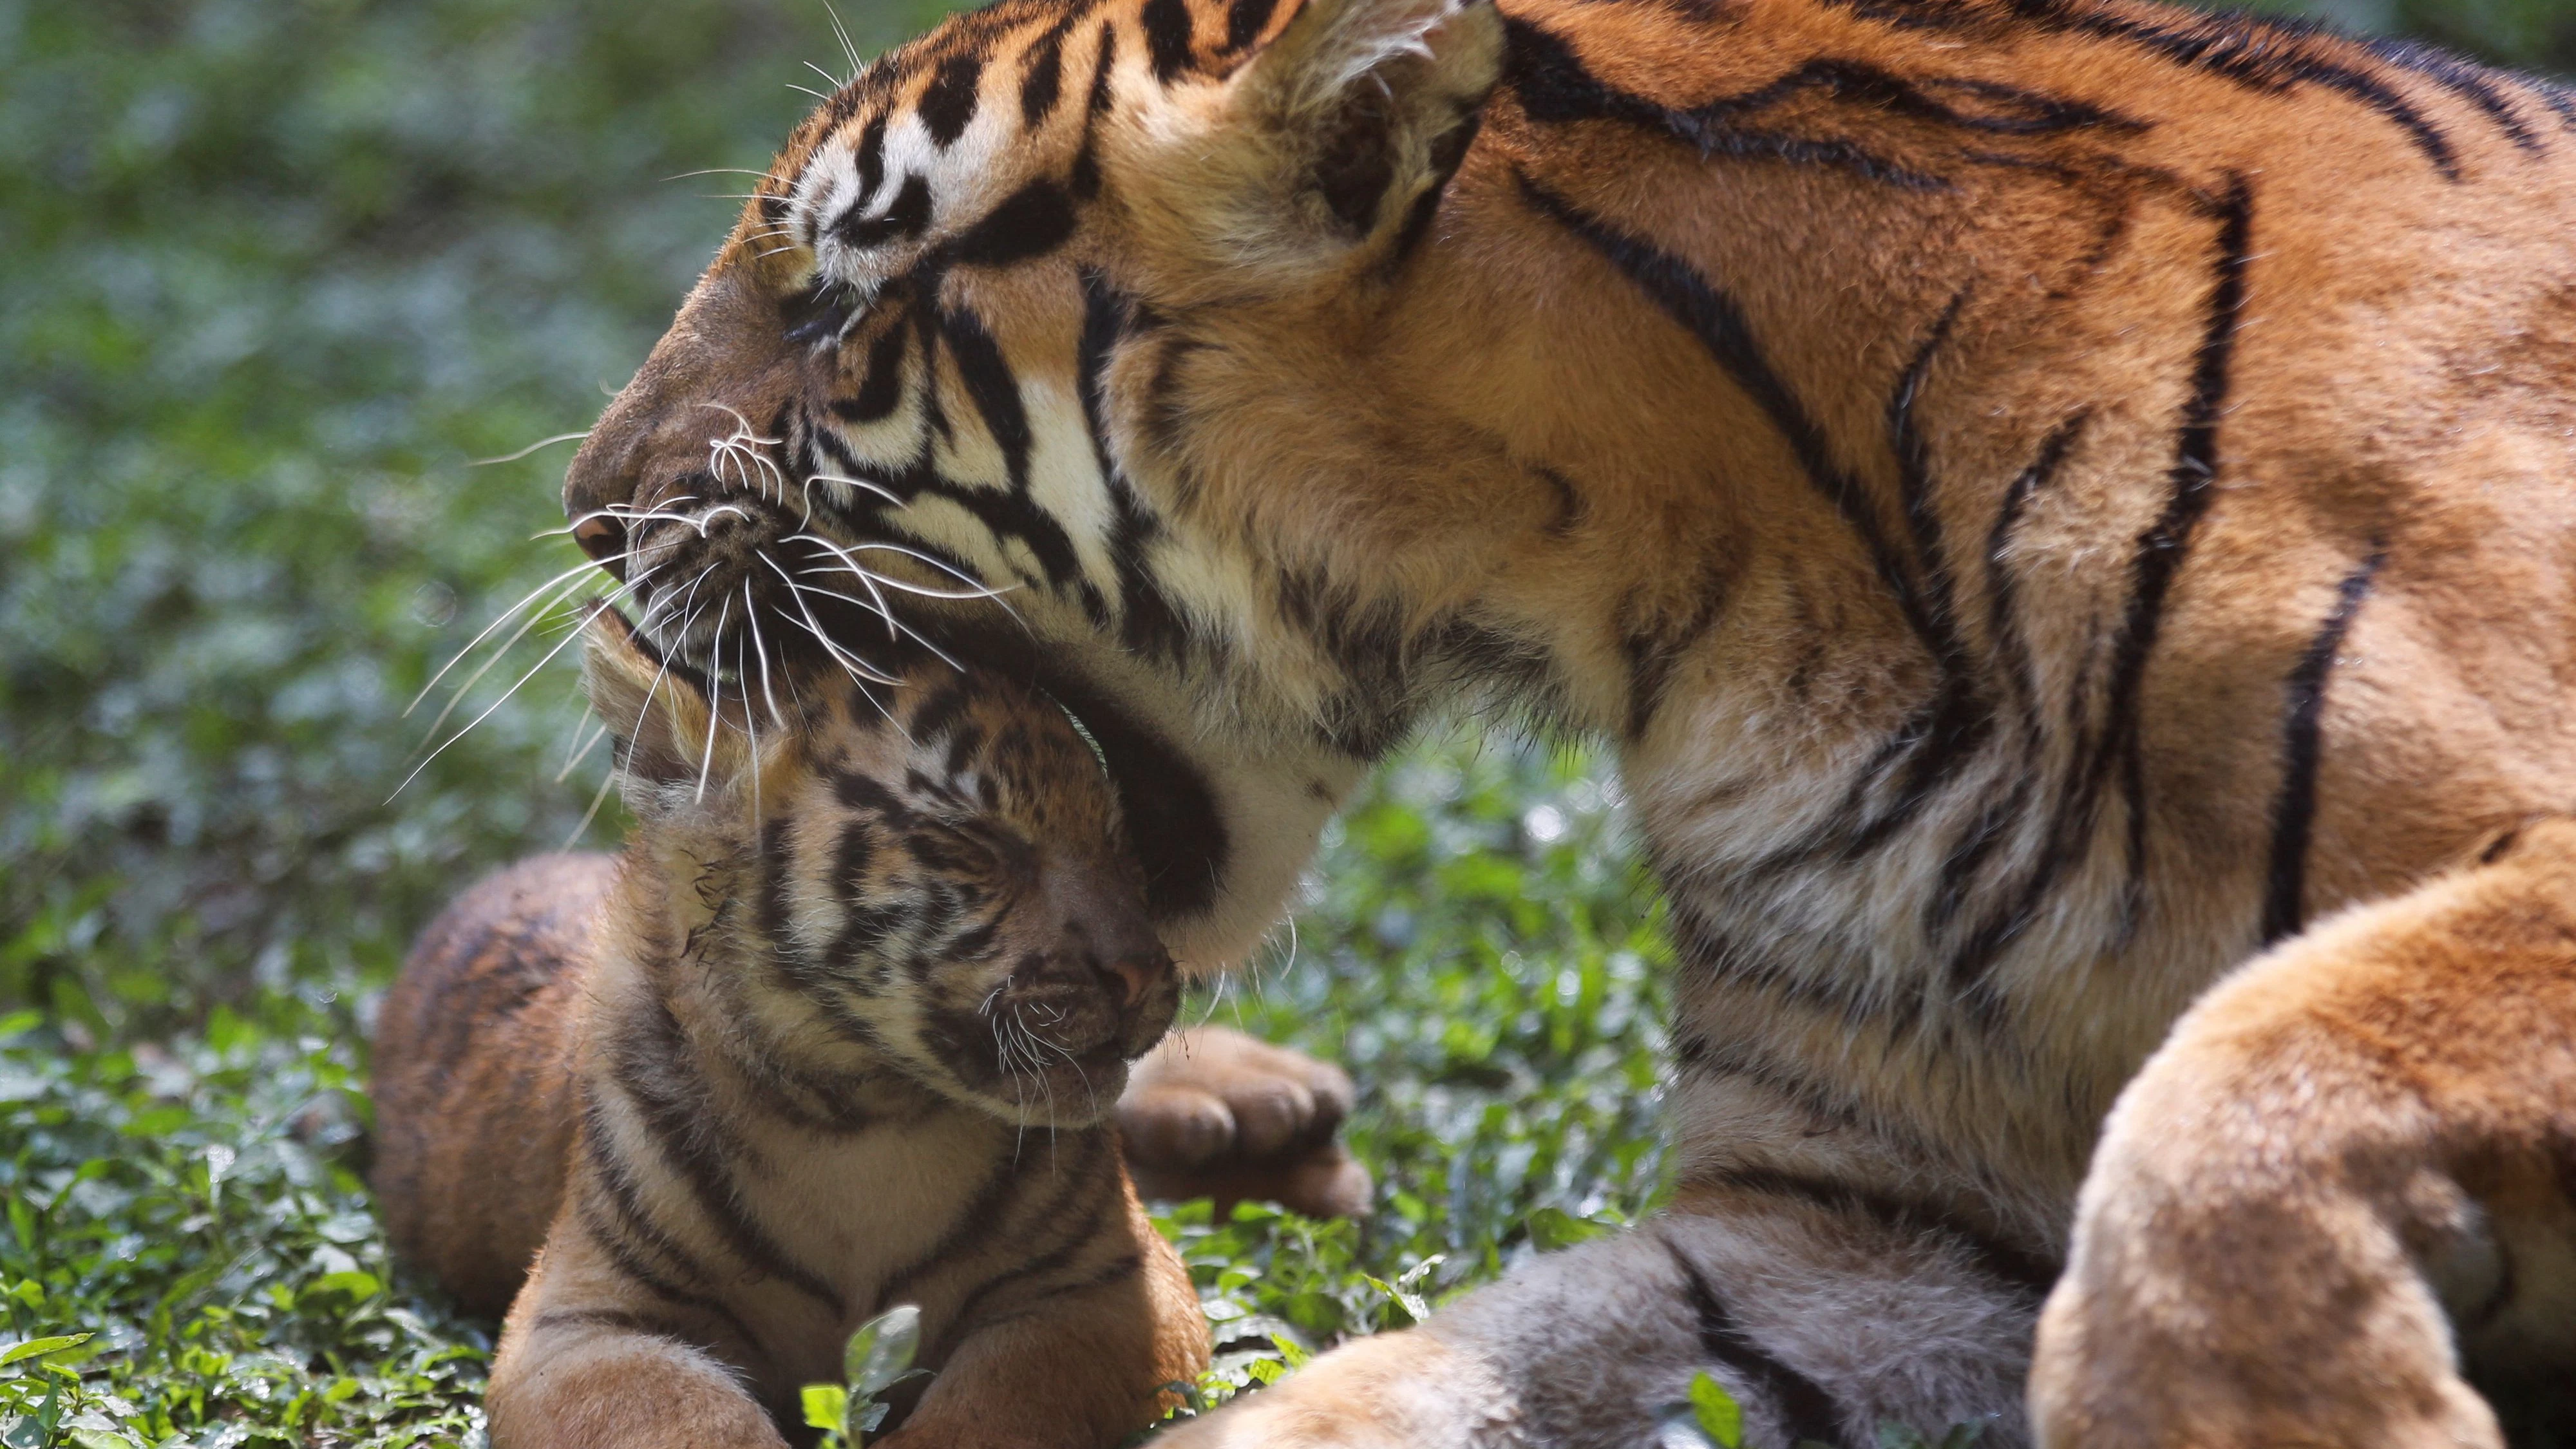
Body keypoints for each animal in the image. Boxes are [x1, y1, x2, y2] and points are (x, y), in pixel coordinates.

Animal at [372, 615, 1233, 1447]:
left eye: (1119, 842)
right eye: (974, 843)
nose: (1145, 972)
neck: (857, 1115)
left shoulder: (1109, 1284)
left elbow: (1002, 1396)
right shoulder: (580, 1320)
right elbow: (680, 1415)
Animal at [547, 0, 2576, 1439]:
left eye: (836, 299)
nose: (583, 512)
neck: (1728, 608)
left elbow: (2245, 1082)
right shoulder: (1866, 1217)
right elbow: (1405, 1381)